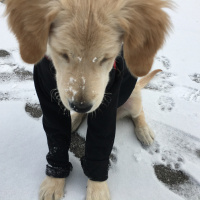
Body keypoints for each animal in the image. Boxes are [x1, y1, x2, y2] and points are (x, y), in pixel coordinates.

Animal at [5, 0, 171, 199]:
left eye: (106, 58)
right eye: (63, 54)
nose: (81, 105)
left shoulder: (106, 105)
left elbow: (99, 147)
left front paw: (97, 188)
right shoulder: (48, 98)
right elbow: (55, 143)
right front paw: (54, 181)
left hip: (133, 97)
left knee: (139, 112)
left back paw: (143, 131)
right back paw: (74, 120)